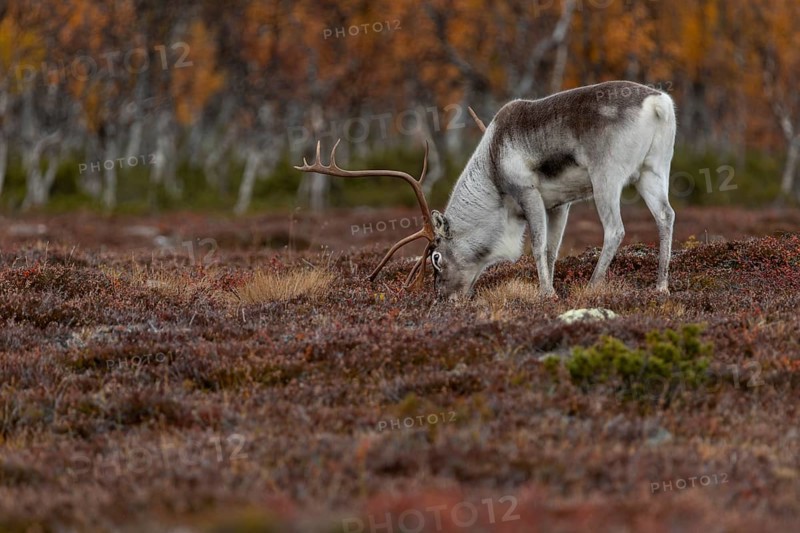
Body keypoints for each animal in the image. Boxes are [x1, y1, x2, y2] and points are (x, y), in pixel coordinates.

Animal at [295, 80, 677, 301]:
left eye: (435, 257)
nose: (443, 299)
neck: (492, 167)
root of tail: (657, 103)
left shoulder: (528, 194)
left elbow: (537, 247)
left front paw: (547, 295)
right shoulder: (559, 204)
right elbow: (553, 250)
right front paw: (552, 287)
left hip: (606, 177)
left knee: (615, 229)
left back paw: (594, 286)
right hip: (652, 172)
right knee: (666, 215)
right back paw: (660, 285)